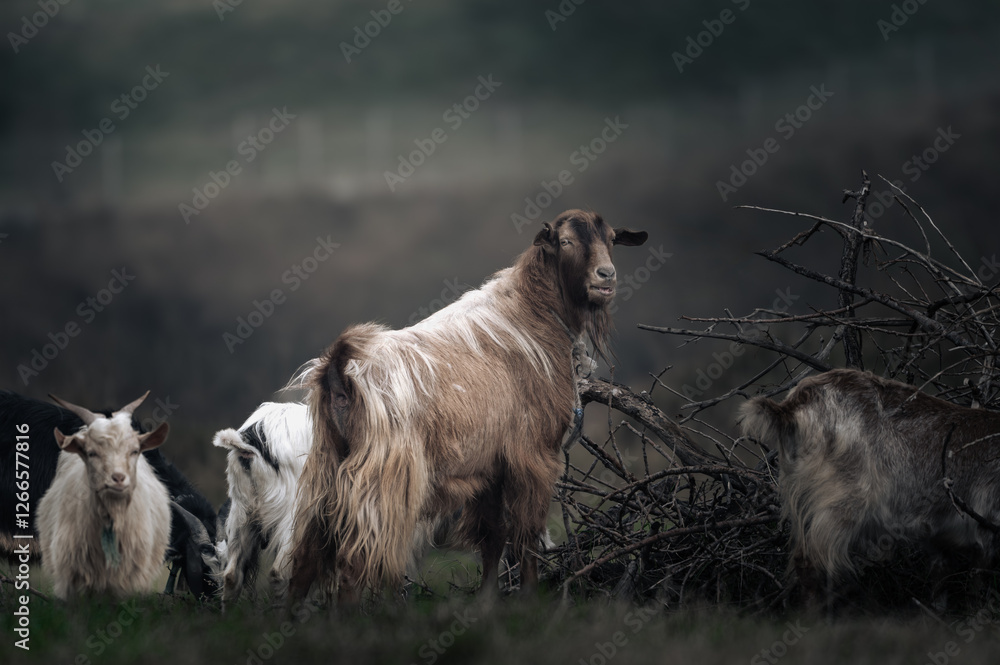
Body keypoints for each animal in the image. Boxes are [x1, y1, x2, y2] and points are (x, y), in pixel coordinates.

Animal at [287, 209, 647, 603]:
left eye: (611, 239)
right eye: (565, 241)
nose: (606, 276)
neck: (532, 315)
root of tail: (339, 370)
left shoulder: (490, 467)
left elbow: (493, 538)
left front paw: (487, 603)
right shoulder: (534, 456)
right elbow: (527, 539)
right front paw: (529, 600)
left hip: (325, 472)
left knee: (305, 559)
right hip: (382, 481)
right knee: (354, 562)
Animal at [741, 369, 1000, 605]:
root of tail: (792, 405)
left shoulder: (938, 540)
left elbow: (940, 590)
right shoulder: (986, 525)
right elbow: (980, 588)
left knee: (801, 560)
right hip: (842, 501)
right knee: (815, 564)